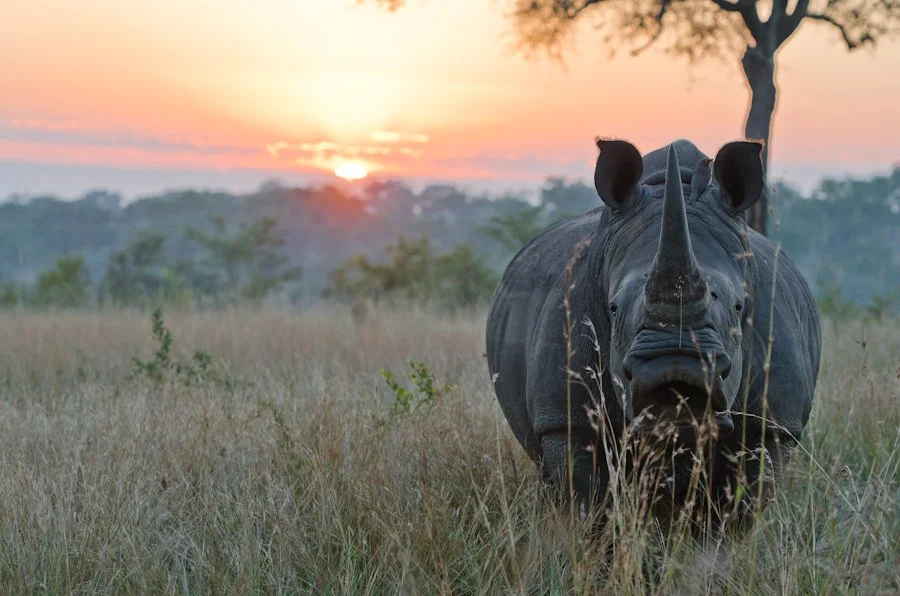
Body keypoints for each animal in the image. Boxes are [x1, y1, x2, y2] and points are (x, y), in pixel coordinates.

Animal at [485, 138, 821, 525]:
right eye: (613, 307)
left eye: (740, 306)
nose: (677, 374)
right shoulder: (566, 419)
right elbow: (587, 502)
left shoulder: (771, 426)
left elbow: (739, 509)